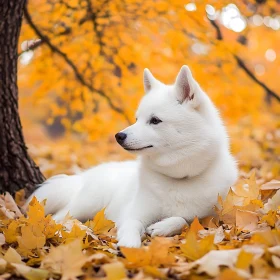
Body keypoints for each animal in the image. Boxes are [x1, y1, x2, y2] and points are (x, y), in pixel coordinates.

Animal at [26, 65, 237, 247]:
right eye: (137, 119)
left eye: (155, 120)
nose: (119, 136)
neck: (178, 178)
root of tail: (83, 176)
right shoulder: (133, 213)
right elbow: (132, 225)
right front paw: (130, 246)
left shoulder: (207, 217)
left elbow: (184, 219)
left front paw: (162, 227)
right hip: (88, 203)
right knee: (59, 218)